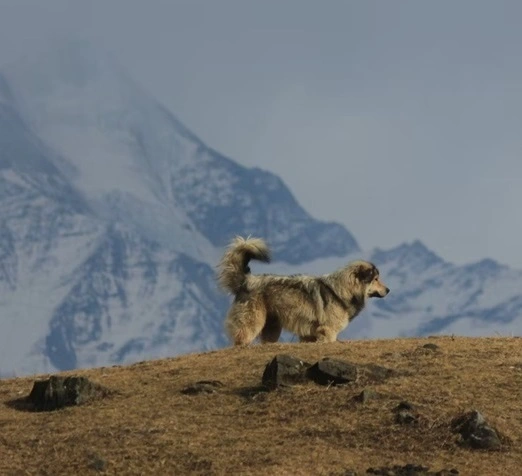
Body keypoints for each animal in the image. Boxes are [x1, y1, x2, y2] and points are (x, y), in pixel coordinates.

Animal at [214, 236, 386, 344]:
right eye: (376, 279)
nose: (388, 290)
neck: (342, 291)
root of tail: (246, 280)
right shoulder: (328, 331)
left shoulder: (309, 335)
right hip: (252, 322)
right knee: (241, 338)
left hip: (272, 328)